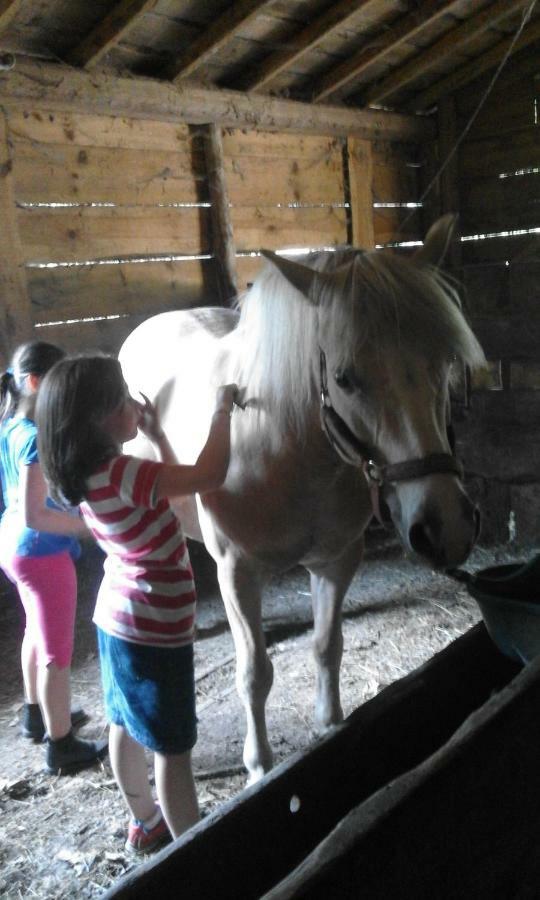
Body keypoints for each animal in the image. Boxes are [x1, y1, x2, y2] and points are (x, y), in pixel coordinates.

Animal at [119, 214, 486, 784]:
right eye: (344, 378)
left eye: (445, 361)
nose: (446, 526)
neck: (288, 450)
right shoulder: (238, 573)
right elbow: (254, 673)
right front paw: (258, 766)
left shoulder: (337, 561)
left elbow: (325, 646)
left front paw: (331, 725)